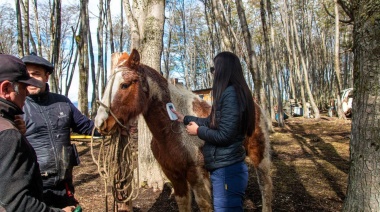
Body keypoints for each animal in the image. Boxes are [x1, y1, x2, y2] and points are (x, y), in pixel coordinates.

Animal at [95, 48, 274, 211]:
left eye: (124, 85)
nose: (100, 123)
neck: (171, 131)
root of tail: (256, 106)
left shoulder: (197, 175)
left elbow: (205, 205)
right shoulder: (174, 176)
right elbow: (183, 203)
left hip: (259, 155)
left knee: (265, 185)